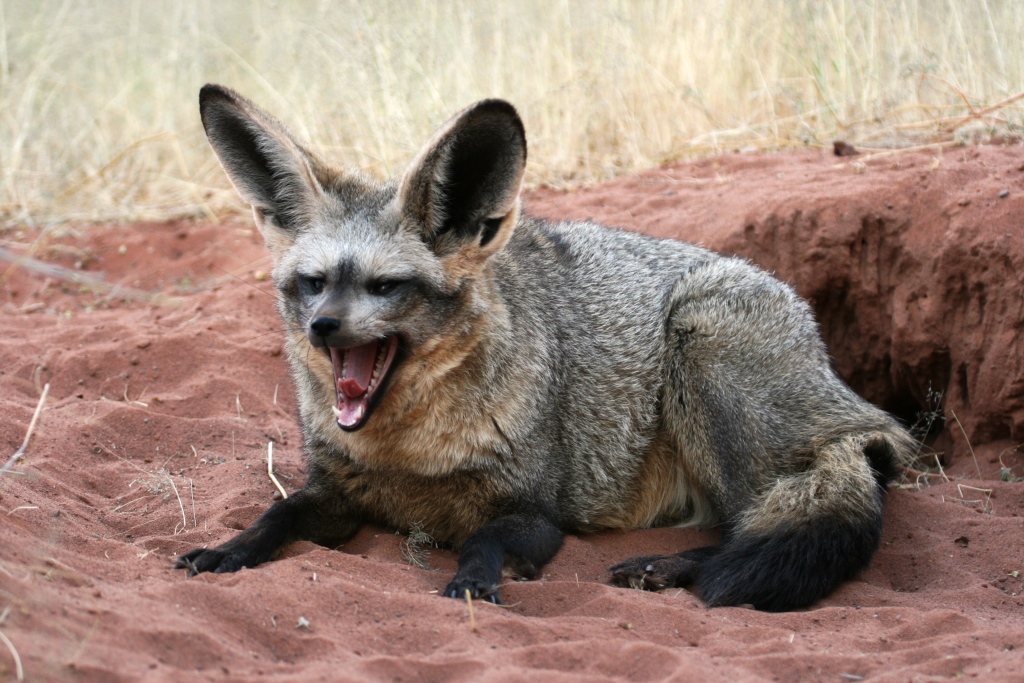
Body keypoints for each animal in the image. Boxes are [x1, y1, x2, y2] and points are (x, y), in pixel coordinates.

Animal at [174, 82, 913, 610]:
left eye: (386, 286)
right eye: (313, 283)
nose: (322, 327)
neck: (406, 456)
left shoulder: (533, 512)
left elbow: (482, 540)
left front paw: (474, 581)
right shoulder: (335, 492)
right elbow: (278, 511)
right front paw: (228, 546)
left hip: (700, 346)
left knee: (752, 525)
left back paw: (663, 565)